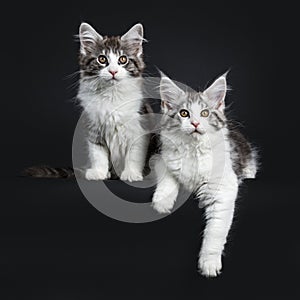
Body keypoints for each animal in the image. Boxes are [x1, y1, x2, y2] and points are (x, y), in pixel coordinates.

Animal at [152, 72, 258, 276]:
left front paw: (209, 263)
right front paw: (162, 203)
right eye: (184, 113)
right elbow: (168, 178)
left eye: (205, 113)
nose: (195, 123)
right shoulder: (161, 159)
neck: (193, 149)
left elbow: (215, 232)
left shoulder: (224, 190)